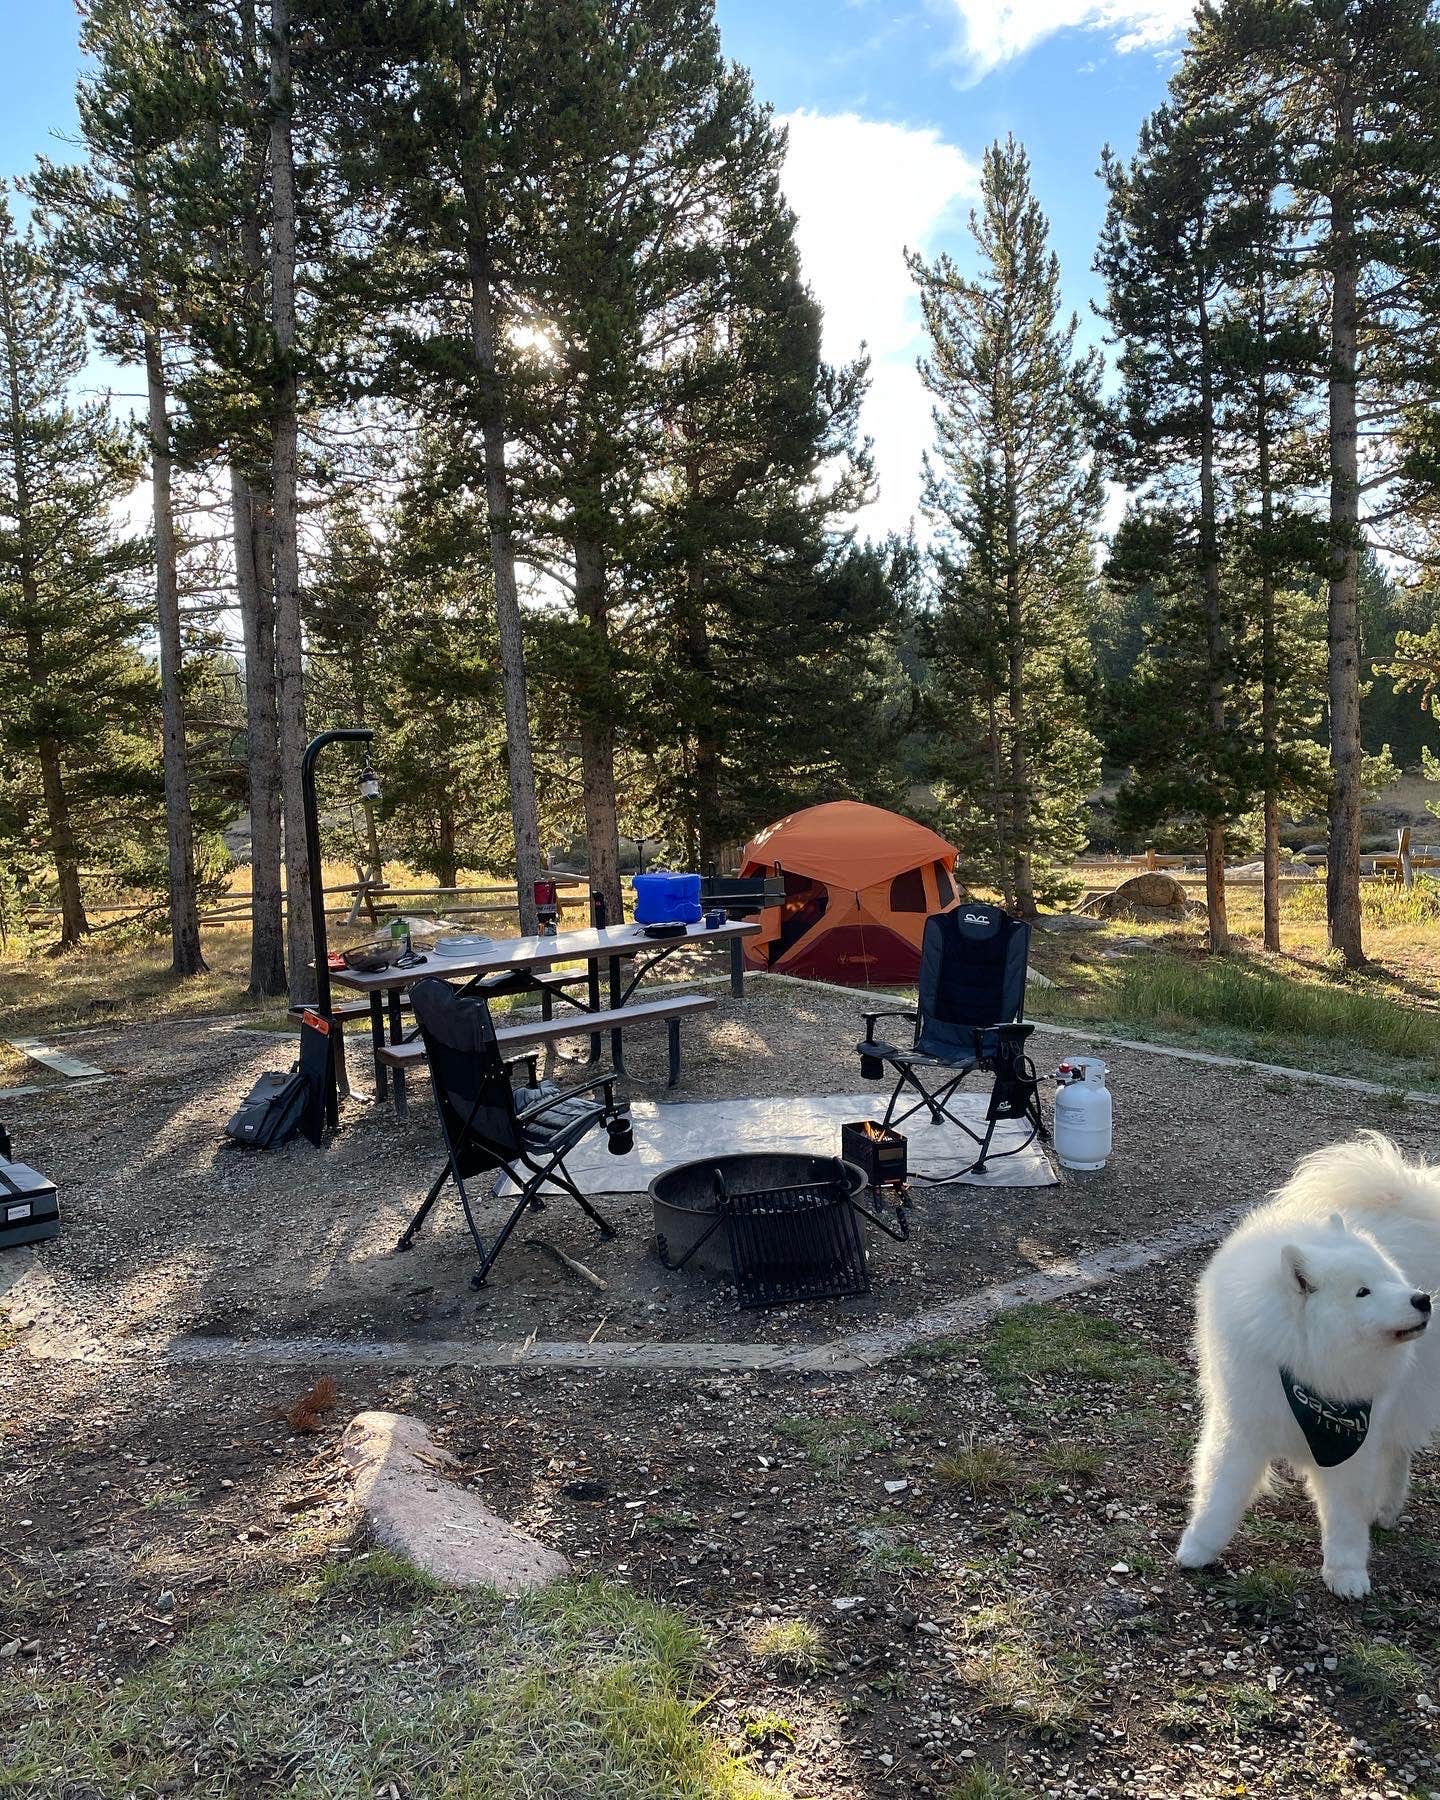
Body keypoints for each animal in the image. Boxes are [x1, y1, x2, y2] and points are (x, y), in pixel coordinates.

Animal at [1173, 1130, 1432, 1598]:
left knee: (1397, 1449)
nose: (1422, 1299)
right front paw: (1198, 1549)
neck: (1306, 1360)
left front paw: (1347, 1575)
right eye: (1363, 1292)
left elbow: (1345, 1519)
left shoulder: (1353, 1444)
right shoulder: (1244, 1425)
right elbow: (1220, 1493)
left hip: (1409, 1393)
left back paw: (1386, 1508)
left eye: (1390, 1279)